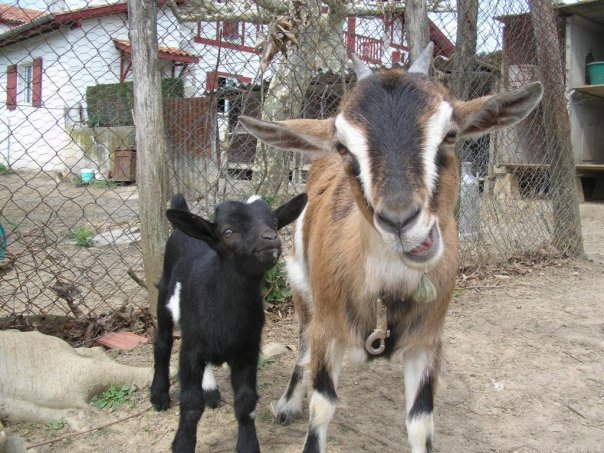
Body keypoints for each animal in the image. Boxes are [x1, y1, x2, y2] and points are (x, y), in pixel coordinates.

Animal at [147, 192, 306, 452]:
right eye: (228, 232)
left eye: (274, 223)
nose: (270, 238)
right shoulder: (191, 350)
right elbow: (191, 404)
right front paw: (182, 444)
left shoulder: (247, 351)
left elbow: (245, 402)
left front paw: (249, 445)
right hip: (164, 298)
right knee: (162, 342)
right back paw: (159, 395)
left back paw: (210, 390)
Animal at [239, 43, 544, 452]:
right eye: (343, 147)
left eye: (451, 134)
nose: (400, 221)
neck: (385, 292)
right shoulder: (327, 331)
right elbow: (322, 407)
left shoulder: (427, 343)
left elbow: (420, 421)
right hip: (302, 290)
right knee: (301, 346)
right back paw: (287, 404)